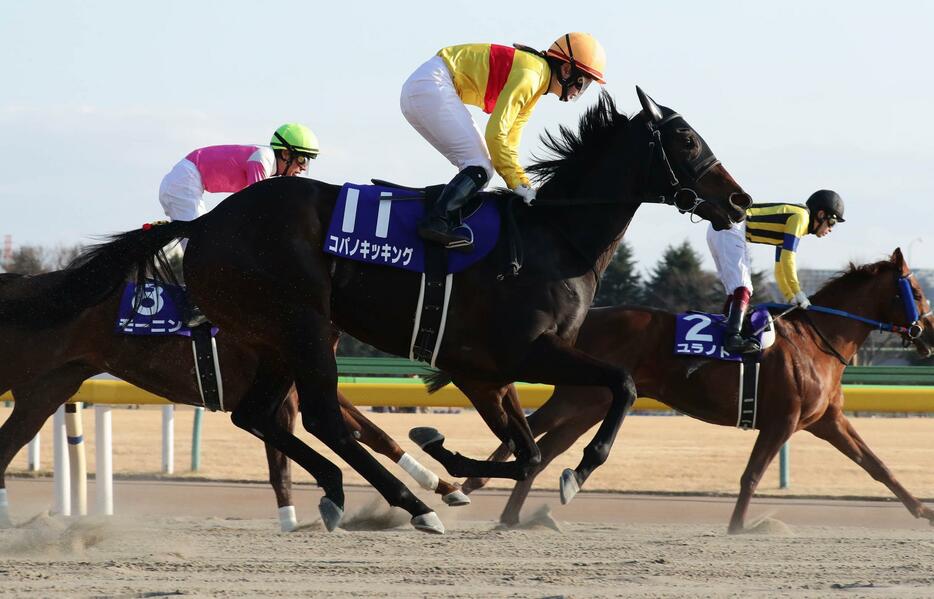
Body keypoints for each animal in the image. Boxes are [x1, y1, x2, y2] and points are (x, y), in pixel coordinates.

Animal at [0, 272, 466, 528]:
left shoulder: (304, 389)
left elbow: (375, 435)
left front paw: (442, 486)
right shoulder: (287, 397)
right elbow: (286, 462)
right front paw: (296, 519)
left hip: (48, 388)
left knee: (8, 445)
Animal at [462, 251, 934, 532]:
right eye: (916, 290)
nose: (928, 331)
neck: (817, 341)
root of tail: (585, 319)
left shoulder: (826, 421)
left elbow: (878, 467)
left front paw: (924, 512)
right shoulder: (782, 421)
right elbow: (751, 474)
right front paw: (739, 527)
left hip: (587, 405)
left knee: (544, 446)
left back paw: (511, 513)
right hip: (582, 399)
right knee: (534, 433)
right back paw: (477, 487)